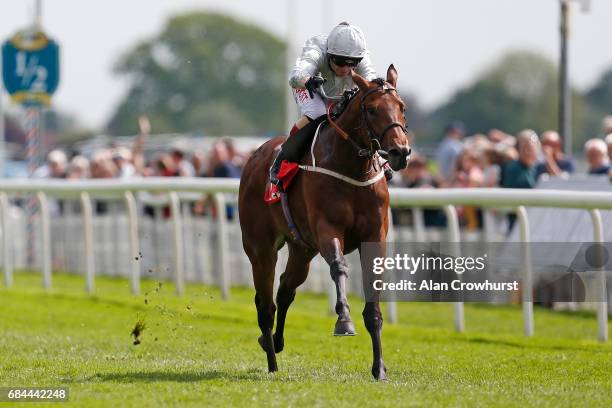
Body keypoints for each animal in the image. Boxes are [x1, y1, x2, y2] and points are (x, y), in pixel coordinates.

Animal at [239, 64, 412, 380]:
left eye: (402, 107)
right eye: (371, 110)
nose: (400, 152)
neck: (352, 169)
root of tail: (255, 156)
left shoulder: (375, 237)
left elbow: (373, 302)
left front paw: (379, 368)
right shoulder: (327, 230)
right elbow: (339, 267)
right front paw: (343, 320)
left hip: (302, 249)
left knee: (285, 290)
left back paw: (275, 342)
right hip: (260, 248)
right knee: (266, 304)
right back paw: (271, 361)